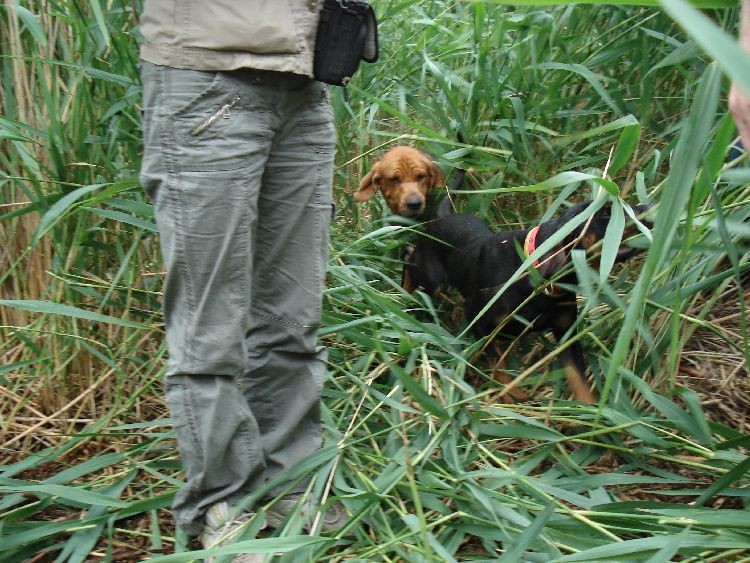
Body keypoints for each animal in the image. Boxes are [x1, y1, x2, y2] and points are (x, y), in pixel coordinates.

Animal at [406, 197, 652, 400]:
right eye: (607, 213)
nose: (649, 209)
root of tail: (442, 217)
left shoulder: (566, 335)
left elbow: (579, 381)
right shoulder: (477, 317)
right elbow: (497, 363)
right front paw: (511, 394)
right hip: (431, 281)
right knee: (409, 258)